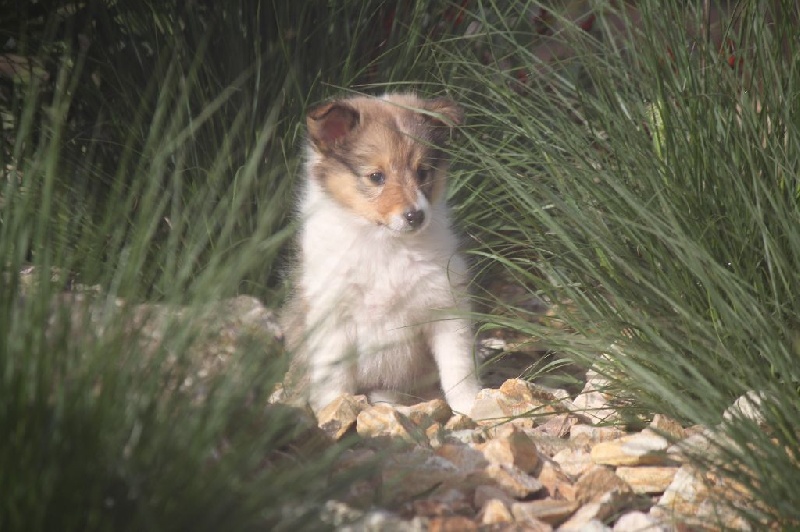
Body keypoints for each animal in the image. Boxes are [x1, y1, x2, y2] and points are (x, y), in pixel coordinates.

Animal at [283, 93, 480, 415]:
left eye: (422, 172)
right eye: (376, 176)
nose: (416, 216)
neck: (386, 244)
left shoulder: (446, 305)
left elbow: (458, 367)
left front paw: (470, 405)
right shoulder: (332, 318)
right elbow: (334, 379)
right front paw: (332, 410)